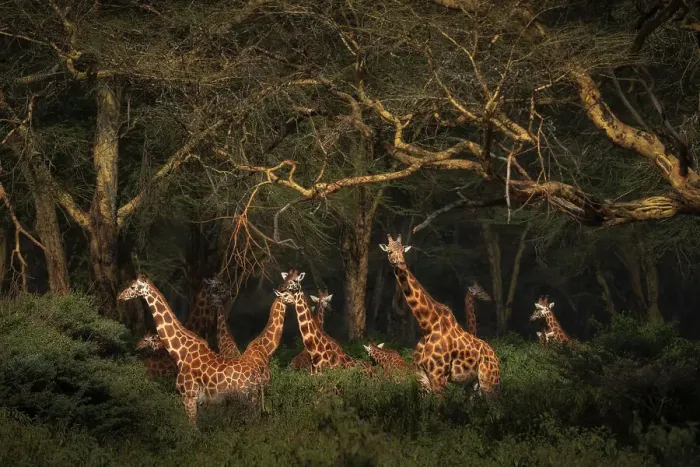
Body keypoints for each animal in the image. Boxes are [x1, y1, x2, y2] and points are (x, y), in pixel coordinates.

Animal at [117, 272, 298, 425]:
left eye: (132, 287)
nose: (120, 296)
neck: (179, 352)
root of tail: (257, 376)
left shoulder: (188, 396)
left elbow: (193, 430)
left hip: (248, 399)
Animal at [379, 234, 501, 396]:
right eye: (389, 251)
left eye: (403, 250)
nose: (401, 264)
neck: (427, 324)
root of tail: (495, 357)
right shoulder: (422, 379)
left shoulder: (439, 377)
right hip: (473, 385)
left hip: (490, 382)